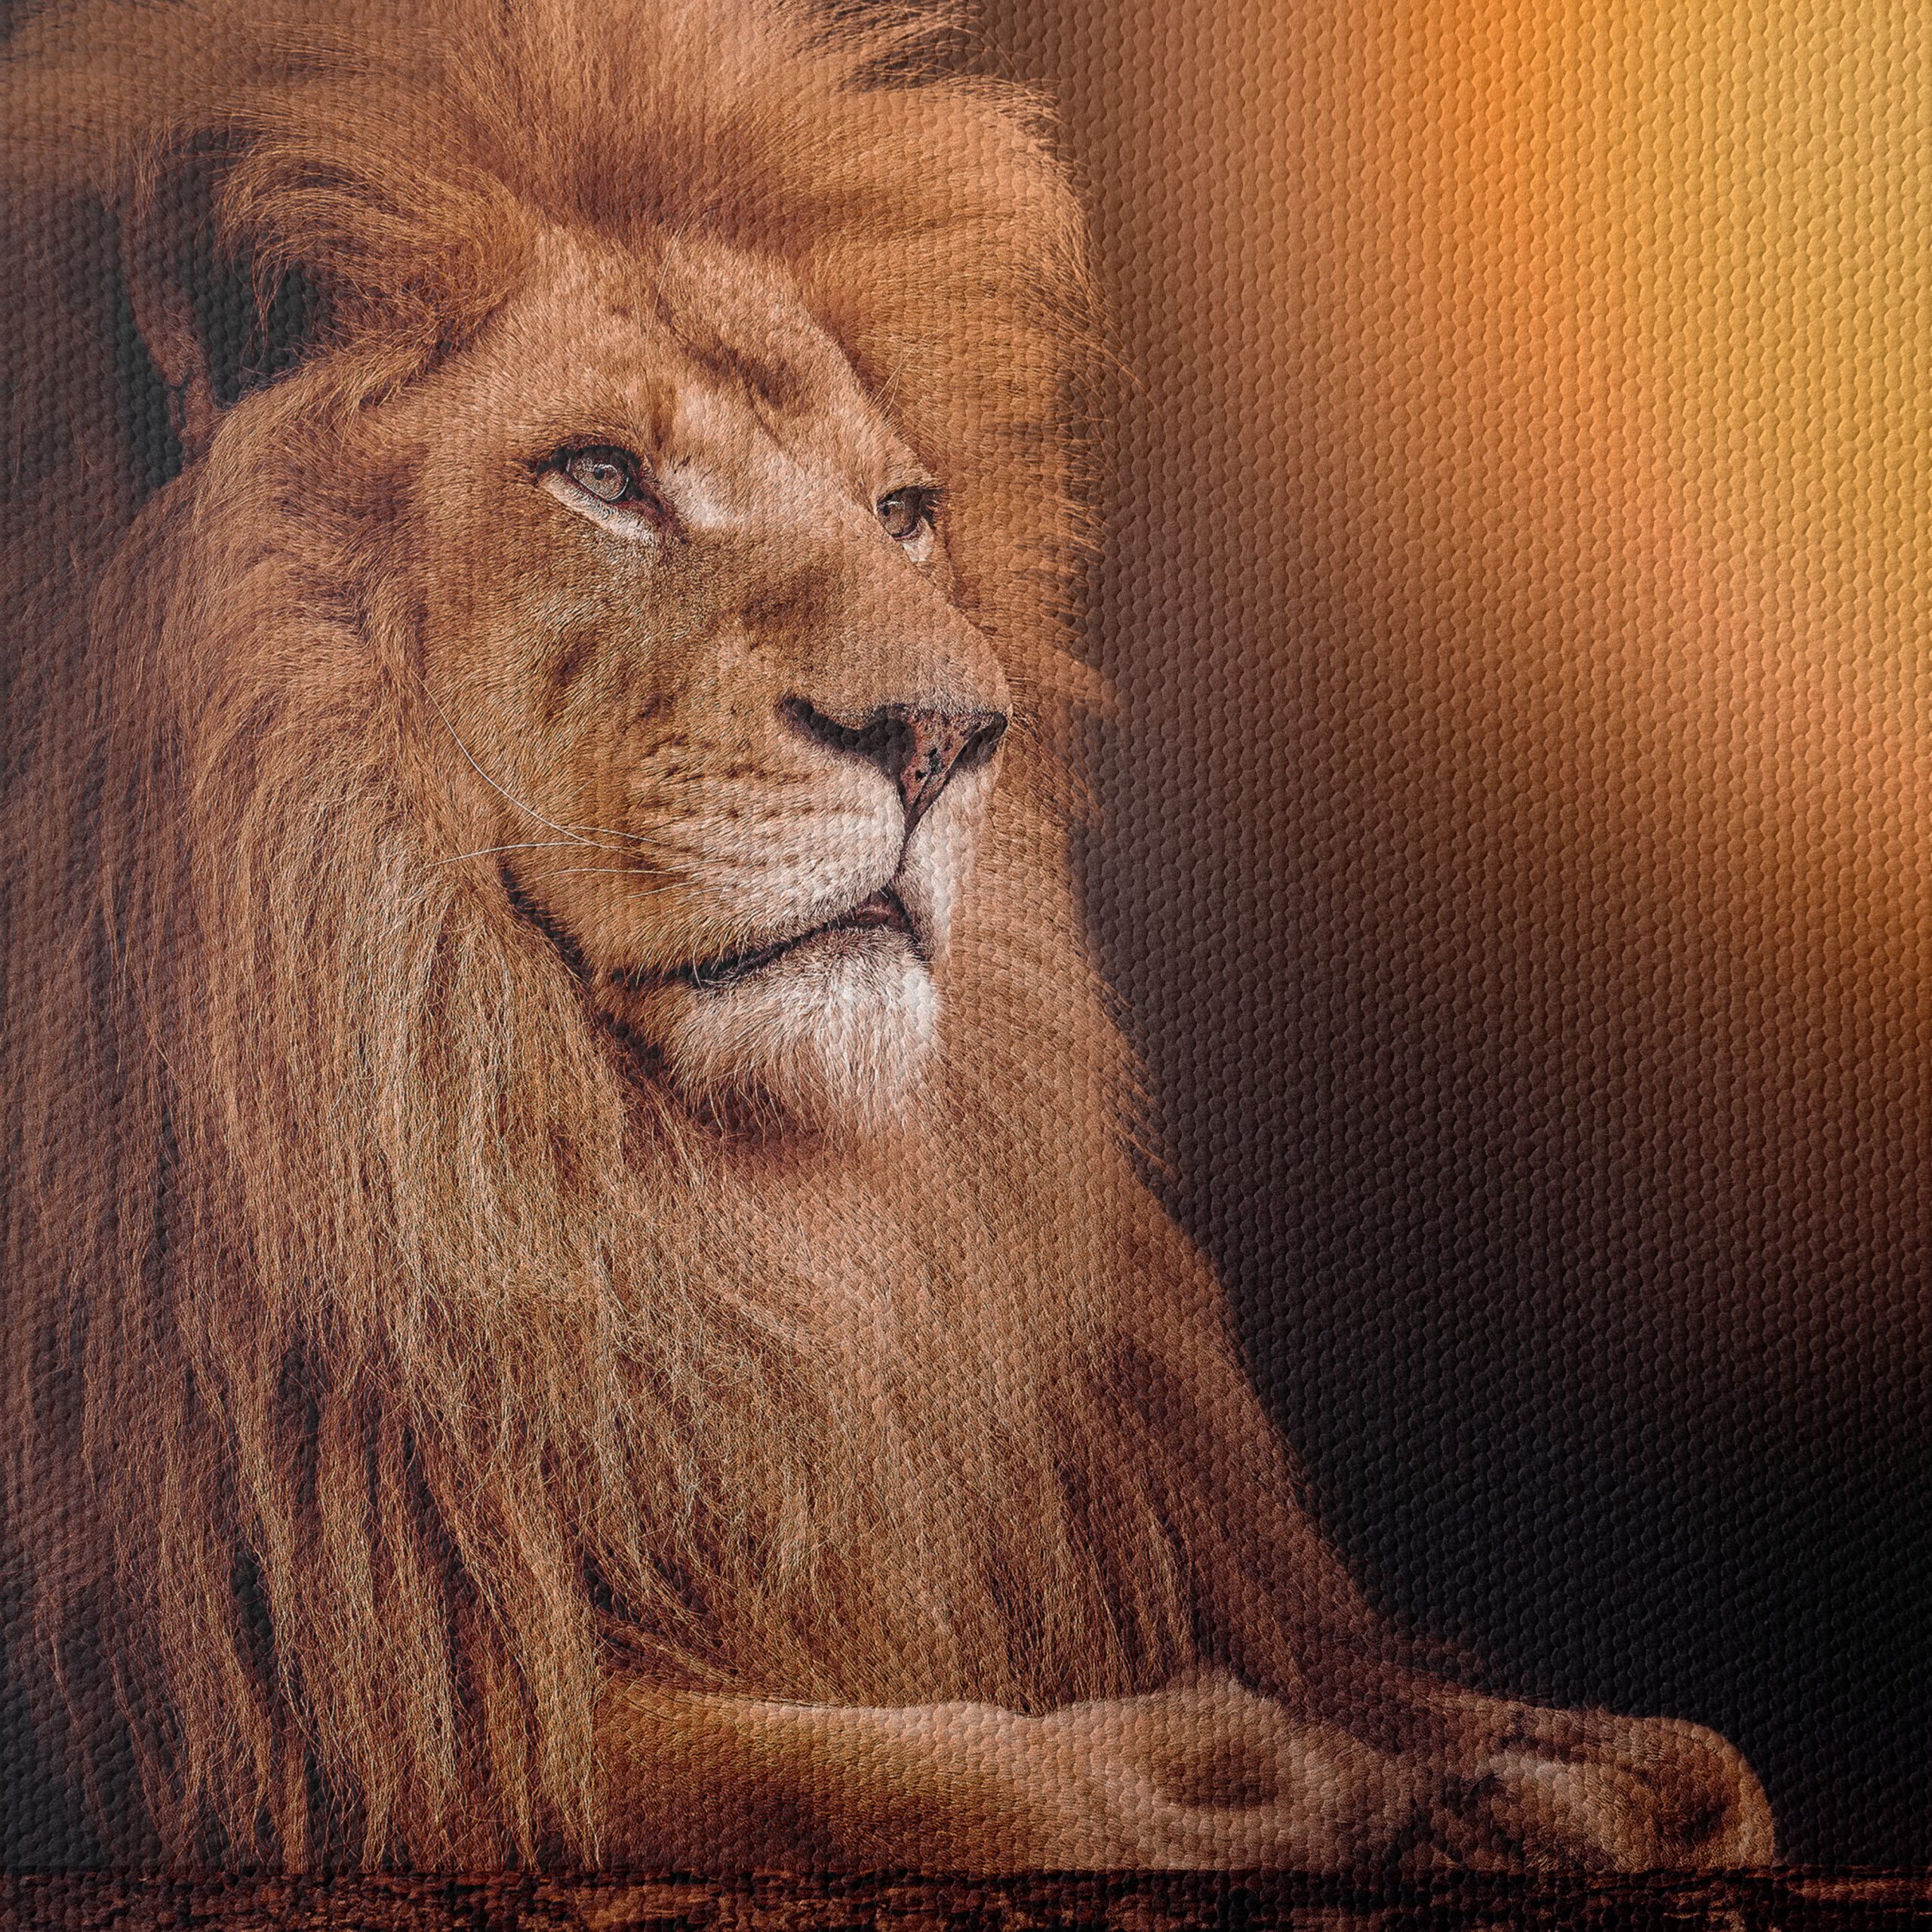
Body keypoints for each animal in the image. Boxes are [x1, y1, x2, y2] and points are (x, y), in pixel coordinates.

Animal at [0, 0, 1773, 1875]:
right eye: (603, 477)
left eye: (902, 512)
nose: (943, 734)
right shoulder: (291, 1692)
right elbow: (803, 1769)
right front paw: (1218, 1775)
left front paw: (1573, 1766)